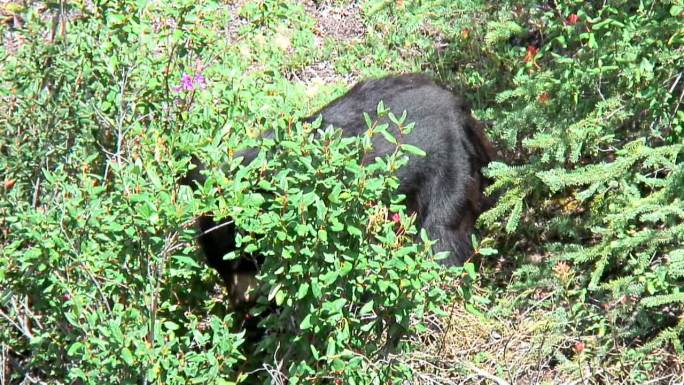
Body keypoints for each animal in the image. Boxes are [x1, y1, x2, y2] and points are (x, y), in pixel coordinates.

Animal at [184, 73, 494, 306]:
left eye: (245, 260)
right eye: (217, 266)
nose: (240, 305)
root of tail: (461, 109)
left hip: (452, 169)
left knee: (440, 237)